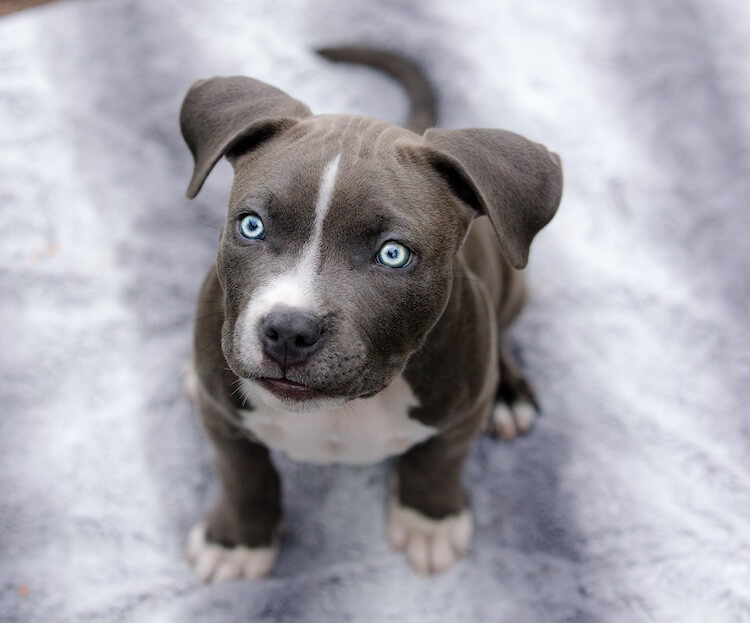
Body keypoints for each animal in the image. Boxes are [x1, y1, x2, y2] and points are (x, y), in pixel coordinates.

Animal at [179, 47, 560, 580]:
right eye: (251, 226)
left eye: (393, 255)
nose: (288, 331)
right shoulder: (222, 418)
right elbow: (243, 475)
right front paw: (236, 542)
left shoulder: (461, 411)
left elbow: (437, 464)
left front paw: (428, 524)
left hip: (512, 281)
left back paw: (508, 394)